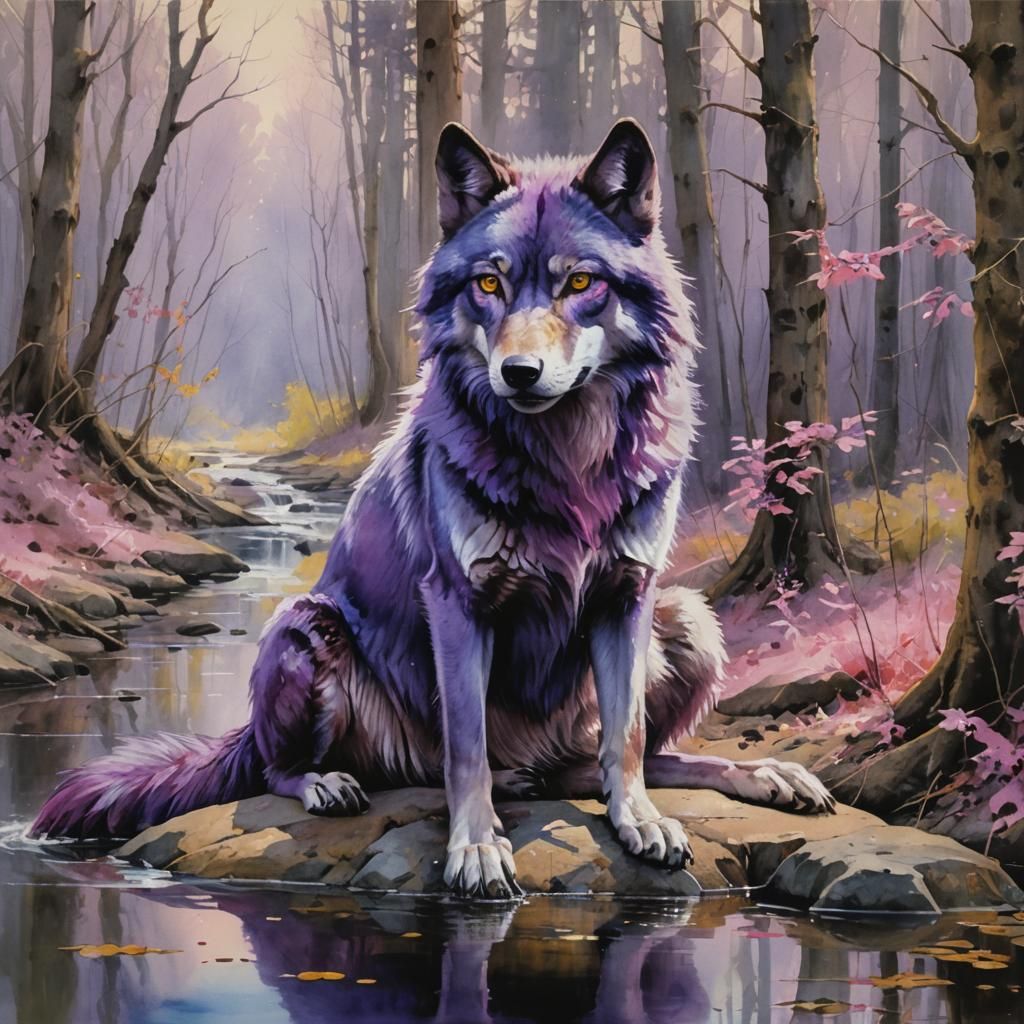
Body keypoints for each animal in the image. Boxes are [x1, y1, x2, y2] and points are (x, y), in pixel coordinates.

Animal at [33, 120, 834, 897]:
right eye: (488, 283)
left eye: (580, 282)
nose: (519, 372)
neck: (567, 462)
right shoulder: (456, 602)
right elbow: (467, 746)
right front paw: (476, 847)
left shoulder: (627, 594)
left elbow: (628, 736)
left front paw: (638, 819)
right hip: (305, 627)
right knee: (275, 767)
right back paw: (329, 784)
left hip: (689, 616)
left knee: (604, 763)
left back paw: (765, 777)